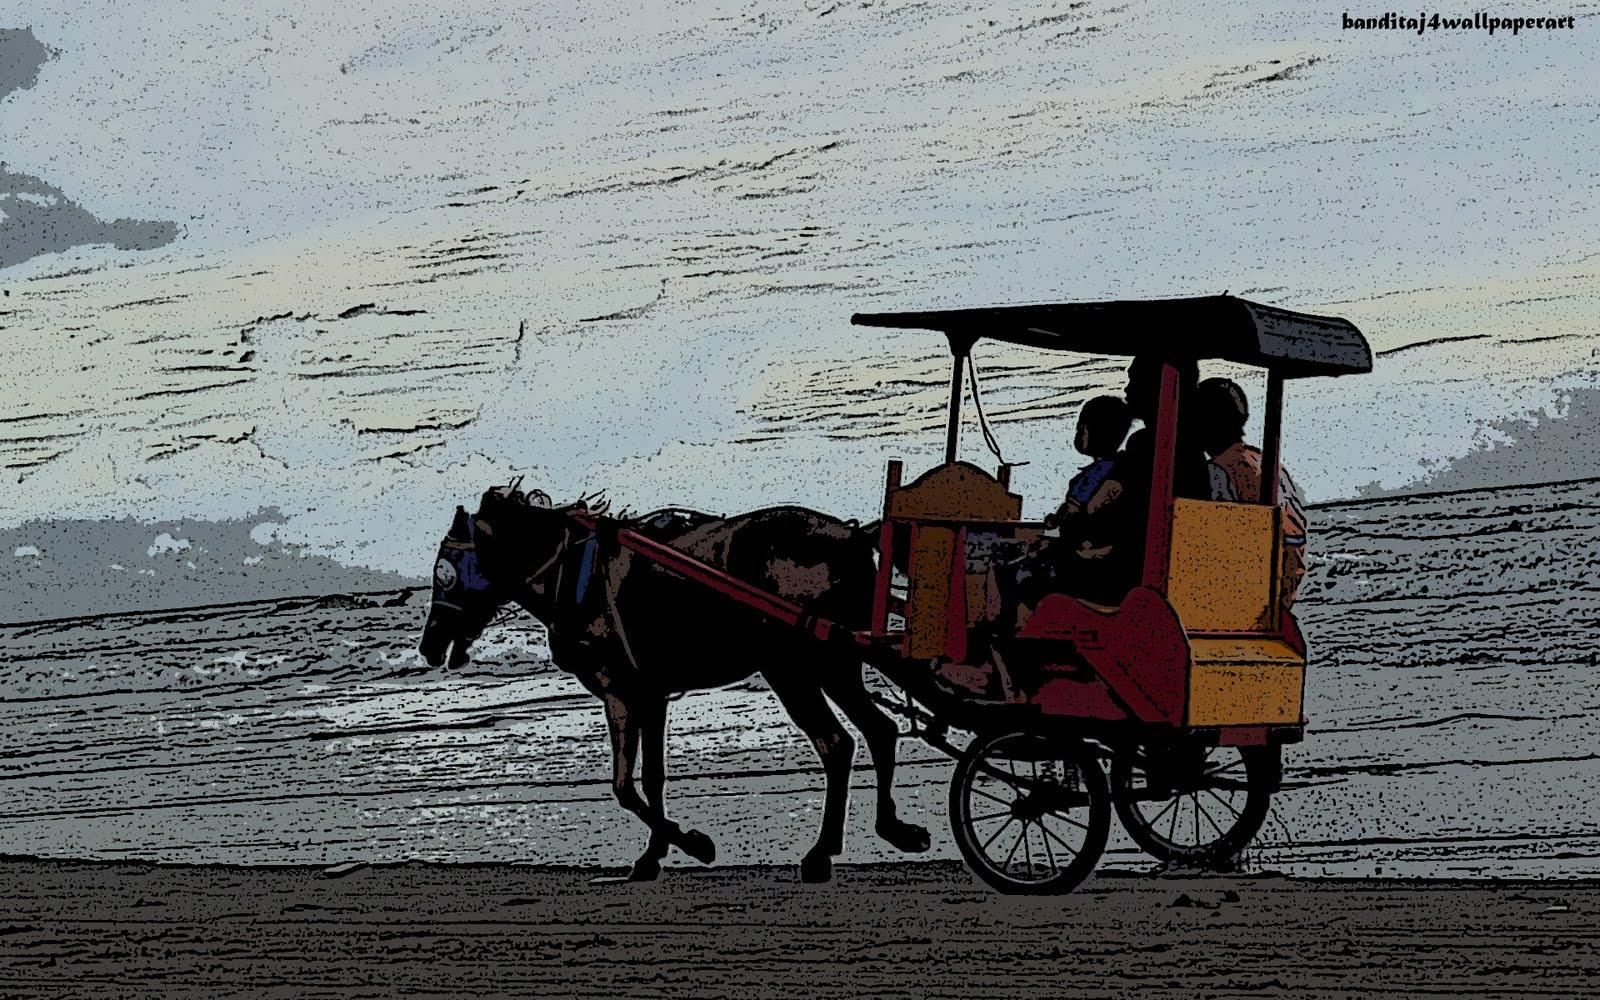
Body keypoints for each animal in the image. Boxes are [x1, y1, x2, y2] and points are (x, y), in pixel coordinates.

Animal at [419, 483, 934, 883]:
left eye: (444, 574)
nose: (428, 646)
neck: (574, 573)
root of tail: (852, 534)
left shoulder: (621, 693)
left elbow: (625, 787)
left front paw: (692, 844)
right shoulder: (651, 696)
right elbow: (652, 778)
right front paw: (654, 854)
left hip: (794, 669)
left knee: (836, 743)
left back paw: (823, 850)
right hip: (836, 663)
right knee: (879, 731)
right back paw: (893, 828)